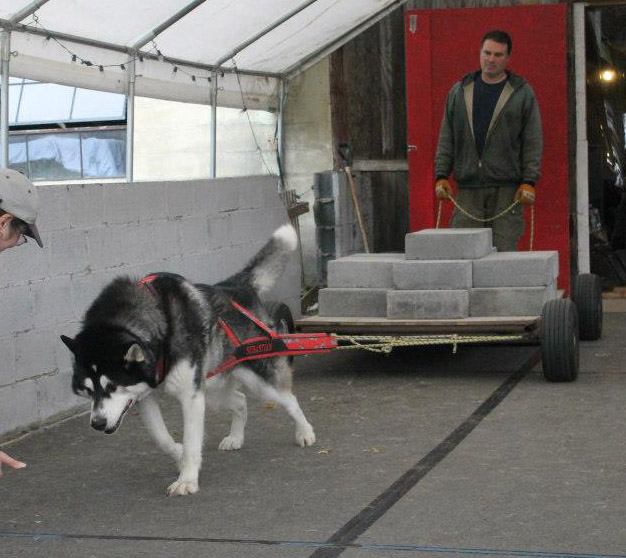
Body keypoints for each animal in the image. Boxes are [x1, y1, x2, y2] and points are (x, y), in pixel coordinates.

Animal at [59, 225, 312, 496]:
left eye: (112, 386)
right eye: (87, 391)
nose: (97, 423)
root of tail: (235, 286)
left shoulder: (190, 397)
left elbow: (192, 442)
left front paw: (187, 479)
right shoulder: (144, 396)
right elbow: (161, 438)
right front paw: (179, 455)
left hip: (257, 381)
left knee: (289, 399)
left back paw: (305, 431)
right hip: (212, 389)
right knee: (240, 400)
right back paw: (236, 437)